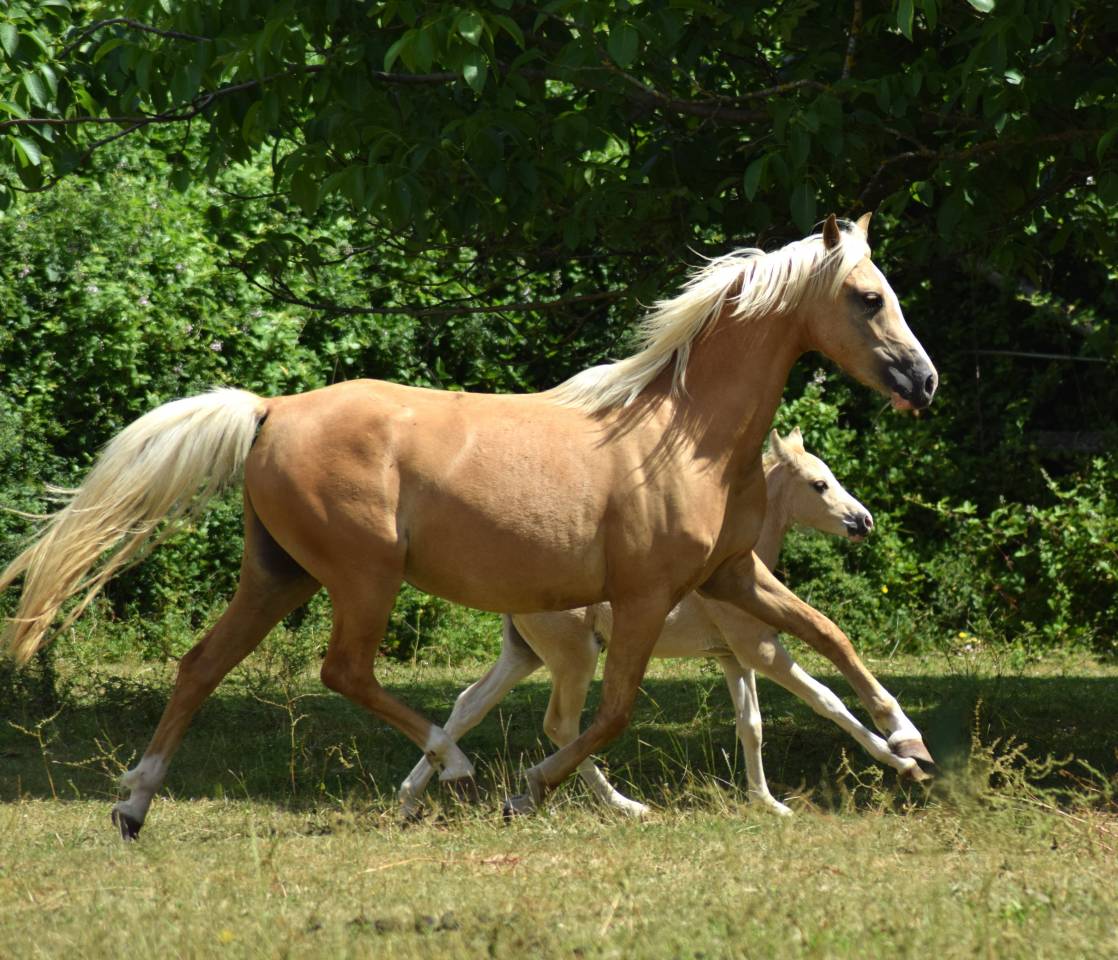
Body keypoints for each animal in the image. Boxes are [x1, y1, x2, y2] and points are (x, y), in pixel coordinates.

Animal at [398, 426, 922, 819]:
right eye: (819, 484)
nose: (864, 521)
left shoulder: (733, 657)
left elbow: (751, 725)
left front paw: (768, 802)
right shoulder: (761, 648)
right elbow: (826, 700)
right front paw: (902, 759)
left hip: (524, 654)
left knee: (469, 705)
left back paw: (411, 797)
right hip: (575, 656)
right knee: (562, 726)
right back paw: (616, 804)